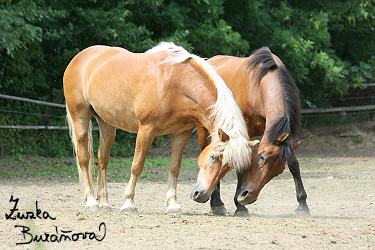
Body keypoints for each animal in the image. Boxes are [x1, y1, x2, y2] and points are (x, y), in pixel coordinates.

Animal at [64, 42, 258, 215]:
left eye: (229, 167)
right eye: (212, 157)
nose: (201, 195)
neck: (176, 82)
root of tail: (80, 57)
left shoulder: (181, 133)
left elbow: (174, 167)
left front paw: (173, 205)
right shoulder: (147, 129)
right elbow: (137, 165)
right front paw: (129, 203)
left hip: (107, 124)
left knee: (102, 160)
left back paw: (104, 203)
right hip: (80, 117)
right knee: (84, 159)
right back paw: (91, 202)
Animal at [192, 47, 310, 217]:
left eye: (278, 171)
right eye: (261, 158)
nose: (247, 196)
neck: (258, 86)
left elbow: (294, 164)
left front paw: (302, 204)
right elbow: (240, 164)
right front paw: (240, 207)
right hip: (204, 130)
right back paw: (216, 203)